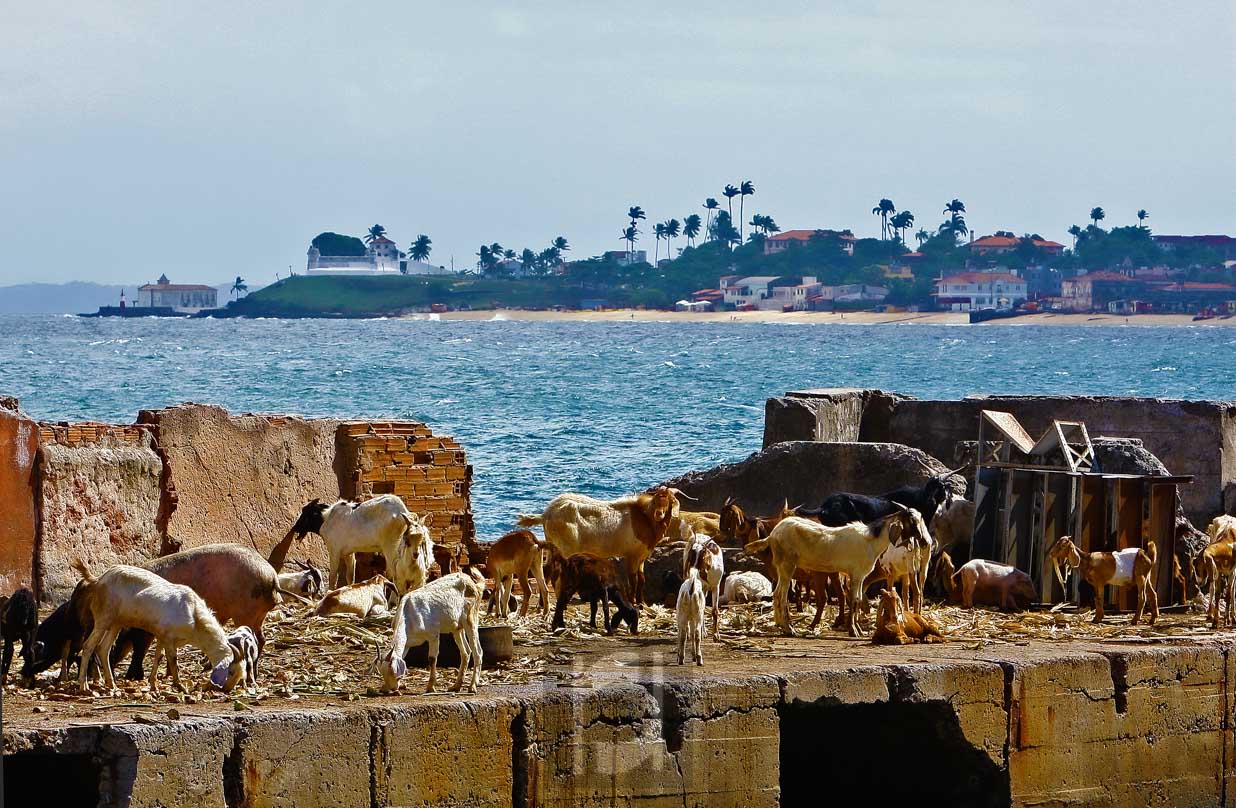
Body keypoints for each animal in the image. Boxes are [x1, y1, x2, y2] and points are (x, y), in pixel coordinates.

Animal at [72, 563, 243, 696]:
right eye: (231, 671)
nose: (227, 690)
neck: (194, 614)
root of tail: (98, 580)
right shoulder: (168, 637)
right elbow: (172, 659)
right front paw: (180, 686)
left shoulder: (162, 636)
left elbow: (158, 657)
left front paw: (153, 684)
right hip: (103, 619)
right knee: (88, 646)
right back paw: (84, 686)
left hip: (116, 623)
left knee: (103, 649)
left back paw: (112, 685)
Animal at [286, 496, 432, 593]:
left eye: (305, 514)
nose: (295, 528)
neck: (327, 518)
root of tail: (405, 513)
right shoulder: (349, 553)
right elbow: (350, 576)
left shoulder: (334, 550)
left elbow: (333, 575)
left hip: (391, 547)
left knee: (395, 573)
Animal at [514, 486, 687, 607]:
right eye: (656, 500)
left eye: (669, 501)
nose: (659, 514)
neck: (645, 519)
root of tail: (546, 514)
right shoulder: (632, 555)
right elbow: (633, 579)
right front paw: (633, 602)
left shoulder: (642, 556)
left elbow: (642, 578)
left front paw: (642, 602)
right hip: (565, 547)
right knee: (556, 572)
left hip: (552, 544)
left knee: (547, 570)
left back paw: (542, 604)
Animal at [736, 513, 924, 637]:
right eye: (912, 521)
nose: (922, 539)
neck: (871, 540)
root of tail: (773, 535)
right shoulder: (856, 574)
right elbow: (853, 600)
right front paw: (853, 631)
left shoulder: (859, 576)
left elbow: (856, 599)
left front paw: (858, 629)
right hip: (787, 565)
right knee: (781, 595)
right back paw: (789, 629)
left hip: (783, 567)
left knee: (777, 595)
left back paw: (781, 625)